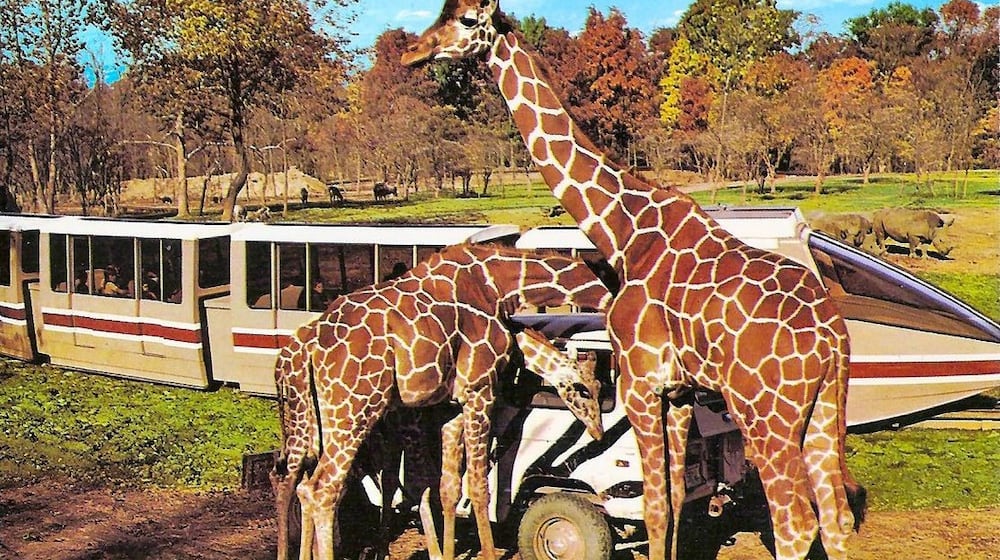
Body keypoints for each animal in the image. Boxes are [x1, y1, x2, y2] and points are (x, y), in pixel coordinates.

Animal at [270, 243, 612, 560]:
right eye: (584, 389)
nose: (598, 432)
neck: (497, 283)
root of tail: (306, 348)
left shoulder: (451, 406)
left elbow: (447, 487)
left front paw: (445, 552)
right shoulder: (479, 389)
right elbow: (478, 487)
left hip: (317, 417)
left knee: (299, 481)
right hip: (355, 410)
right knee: (322, 489)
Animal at [401, 3, 866, 560]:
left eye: (468, 20)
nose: (411, 52)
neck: (624, 231)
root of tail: (831, 338)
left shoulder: (639, 383)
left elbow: (653, 505)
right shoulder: (679, 393)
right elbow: (676, 496)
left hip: (766, 415)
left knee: (795, 524)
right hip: (823, 409)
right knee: (837, 518)